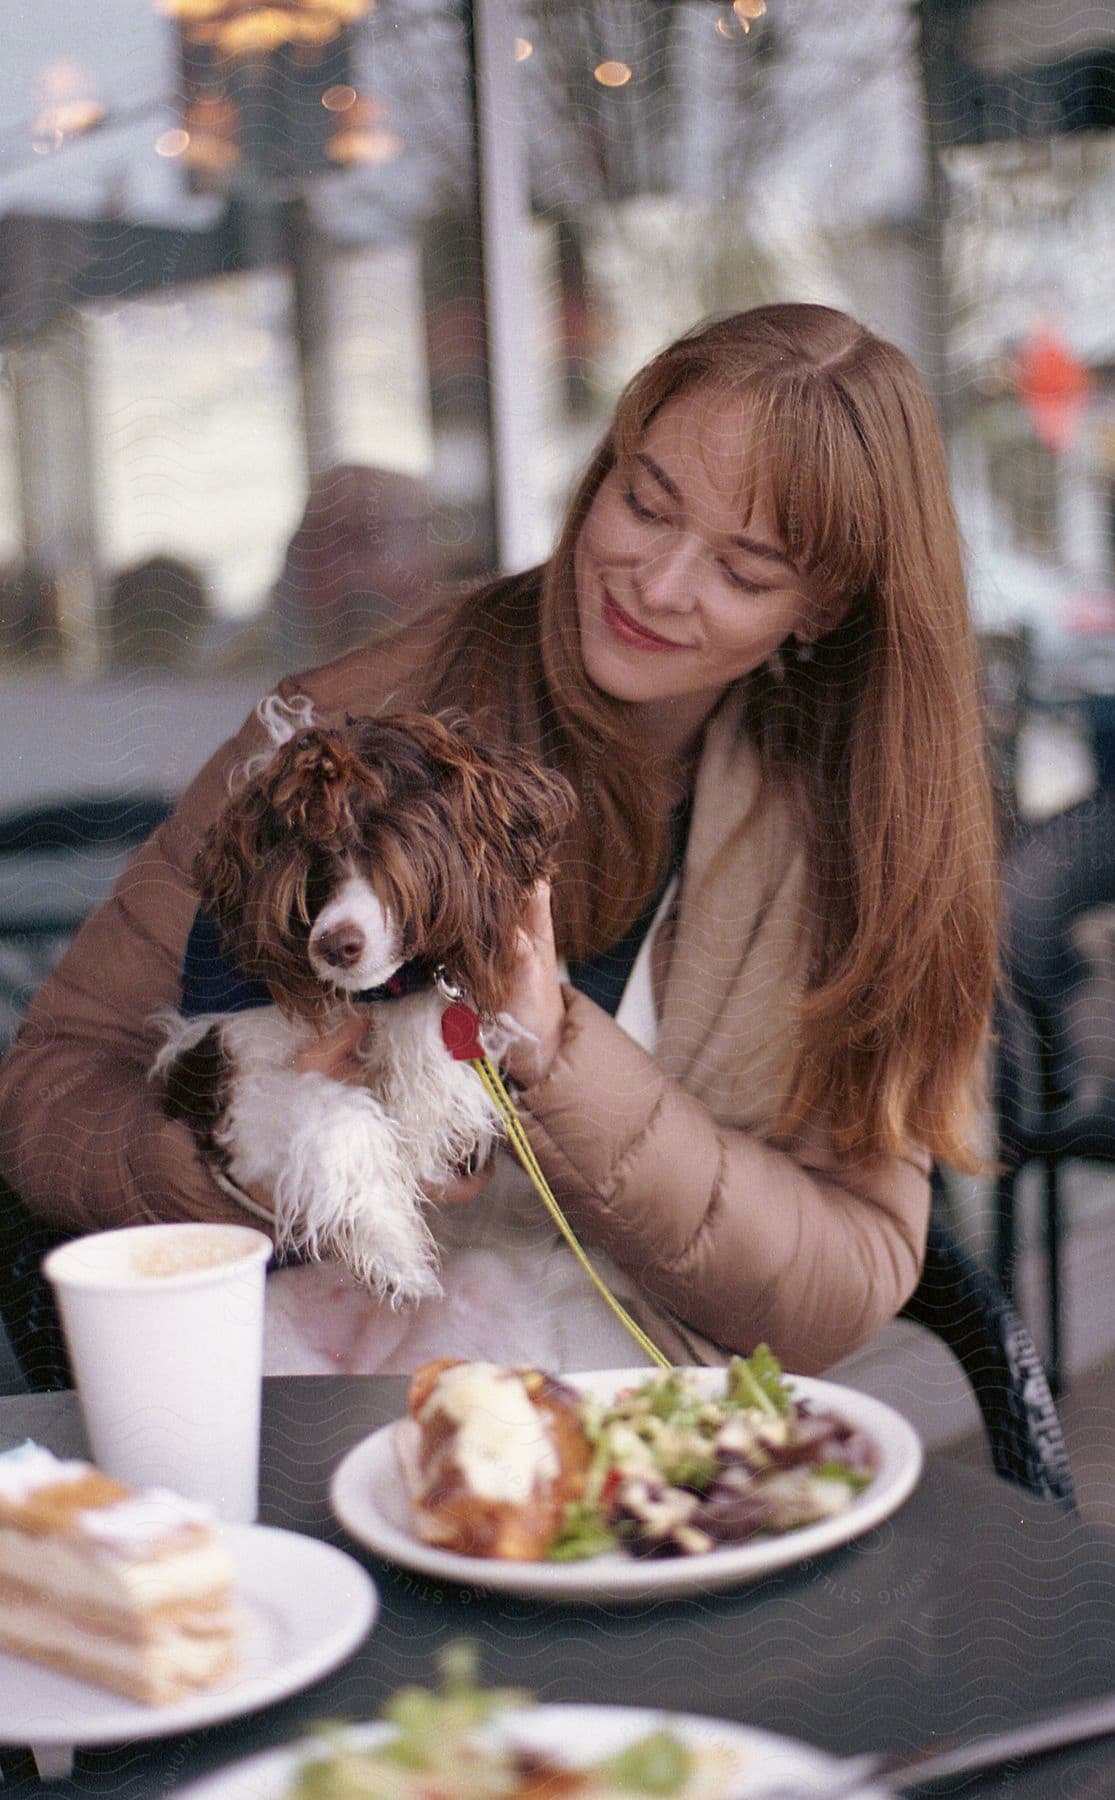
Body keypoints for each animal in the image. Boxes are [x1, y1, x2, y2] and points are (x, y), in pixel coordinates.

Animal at [154, 702, 576, 1310]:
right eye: (312, 871)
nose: (337, 945)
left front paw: (426, 1102)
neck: (372, 997)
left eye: (396, 860)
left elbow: (439, 1023)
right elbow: (332, 1112)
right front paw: (393, 1252)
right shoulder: (225, 1071)